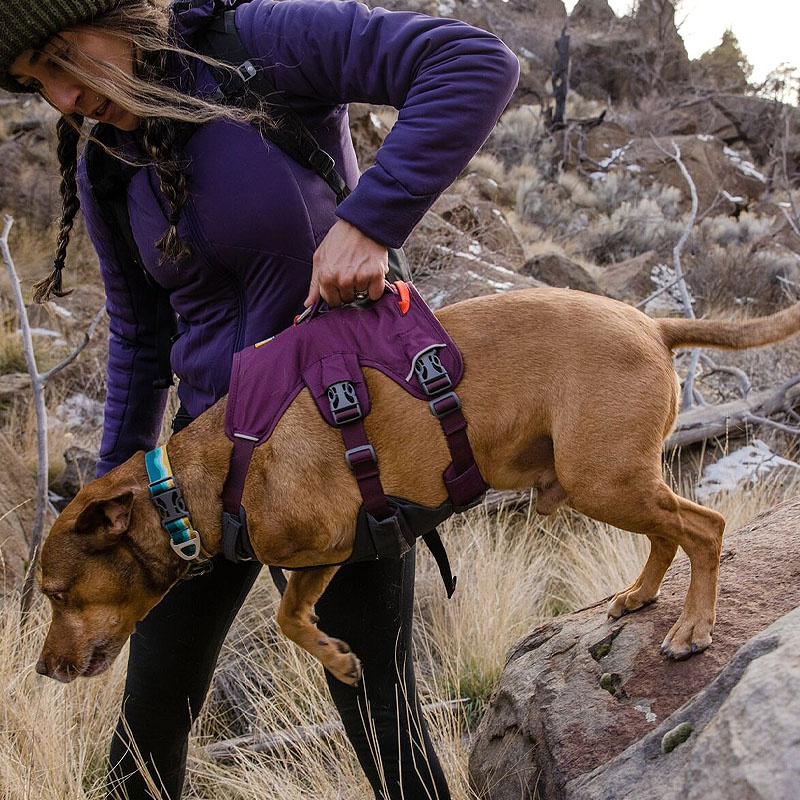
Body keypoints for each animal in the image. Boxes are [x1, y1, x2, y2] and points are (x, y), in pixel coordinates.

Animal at [36, 290, 800, 684]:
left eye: (58, 595)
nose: (45, 669)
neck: (197, 479)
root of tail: (652, 322)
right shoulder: (331, 553)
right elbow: (291, 615)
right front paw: (336, 657)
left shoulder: (333, 539)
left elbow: (285, 617)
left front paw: (337, 659)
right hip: (611, 480)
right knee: (669, 533)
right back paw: (641, 595)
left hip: (605, 479)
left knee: (704, 528)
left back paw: (693, 628)